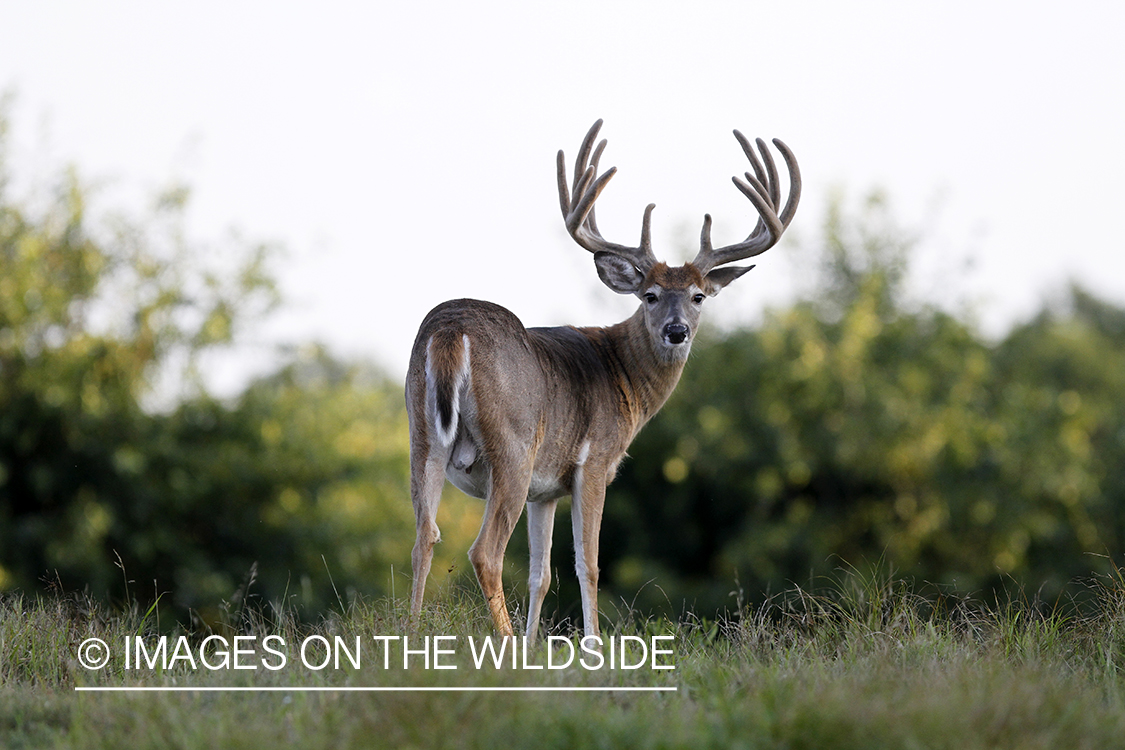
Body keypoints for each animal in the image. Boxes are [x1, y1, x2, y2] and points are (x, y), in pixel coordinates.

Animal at [407, 122, 801, 638]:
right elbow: (588, 564)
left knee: (423, 537)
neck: (620, 371)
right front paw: (591, 643)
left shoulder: (544, 490)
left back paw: (411, 635)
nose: (677, 331)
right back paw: (503, 643)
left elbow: (540, 572)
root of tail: (451, 330)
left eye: (698, 296)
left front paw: (536, 644)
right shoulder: (593, 464)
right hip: (512, 446)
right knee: (484, 552)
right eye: (650, 295)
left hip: (422, 435)